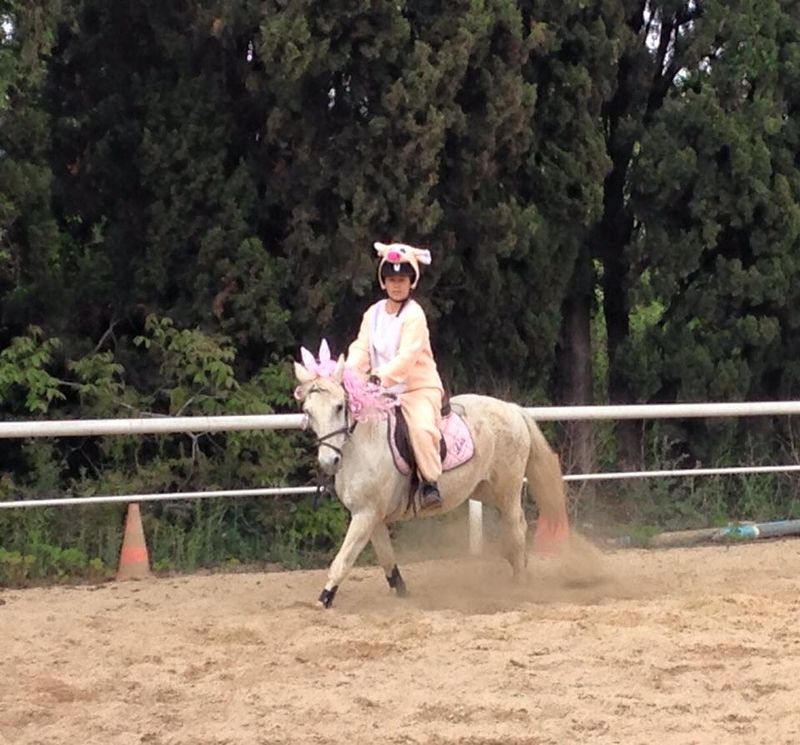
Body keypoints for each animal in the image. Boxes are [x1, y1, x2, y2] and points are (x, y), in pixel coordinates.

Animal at [294, 354, 568, 604]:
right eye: (308, 411)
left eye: (339, 406)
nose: (329, 461)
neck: (365, 443)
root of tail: (511, 408)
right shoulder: (371, 517)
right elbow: (387, 560)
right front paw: (402, 593)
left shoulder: (366, 515)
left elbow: (343, 560)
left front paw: (324, 600)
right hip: (484, 490)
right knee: (516, 526)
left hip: (507, 490)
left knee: (517, 529)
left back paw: (520, 585)